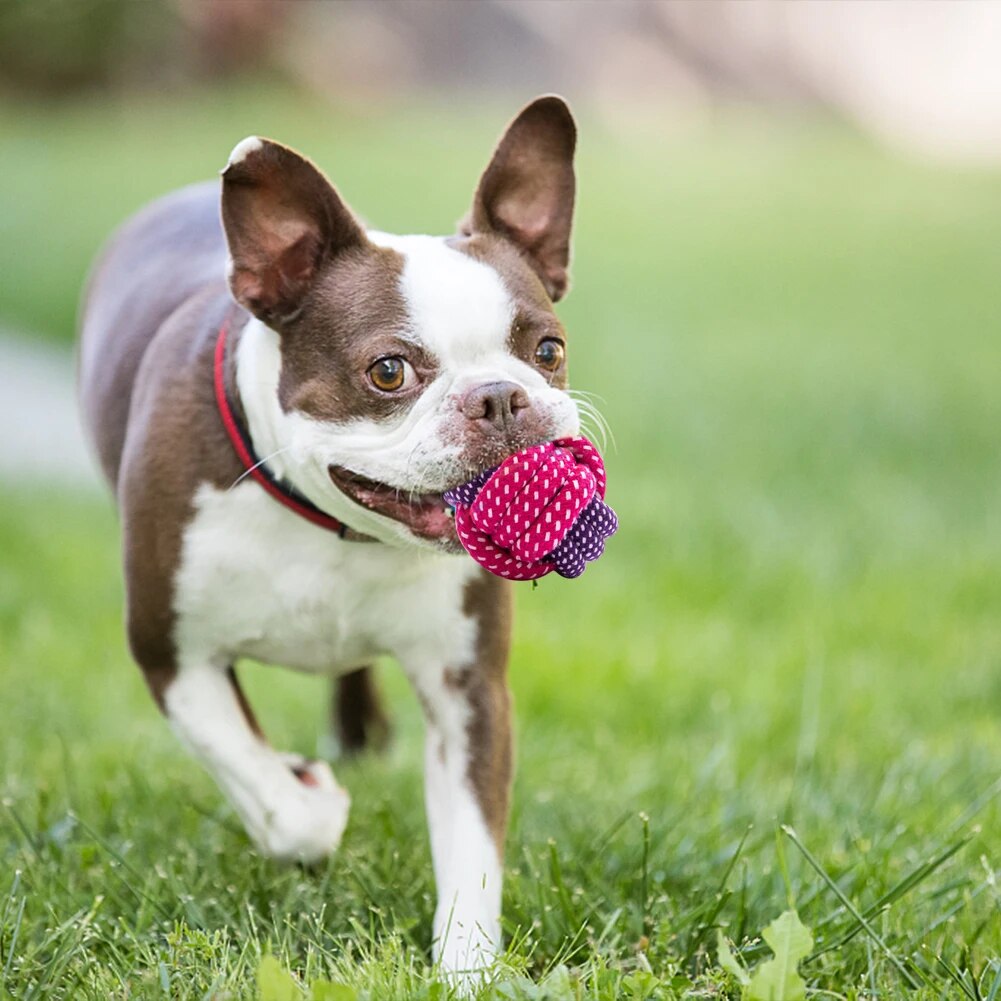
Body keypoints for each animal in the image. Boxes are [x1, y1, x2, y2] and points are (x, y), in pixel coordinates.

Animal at [80, 95, 580, 976]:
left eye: (547, 349)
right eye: (388, 371)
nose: (499, 396)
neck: (335, 525)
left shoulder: (469, 689)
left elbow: (472, 846)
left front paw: (468, 972)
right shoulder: (174, 654)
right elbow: (272, 794)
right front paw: (305, 790)